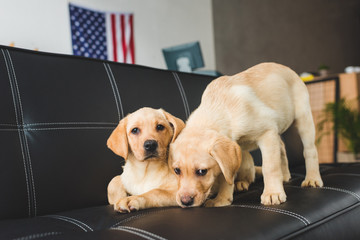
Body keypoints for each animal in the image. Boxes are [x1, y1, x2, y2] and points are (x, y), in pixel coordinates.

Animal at [169, 62, 324, 207]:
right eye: (177, 170)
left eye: (202, 171)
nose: (185, 201)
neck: (219, 108)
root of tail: (287, 69)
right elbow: (226, 176)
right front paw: (222, 199)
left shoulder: (267, 133)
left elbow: (270, 167)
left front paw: (272, 193)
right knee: (281, 146)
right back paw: (283, 175)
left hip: (303, 118)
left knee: (310, 150)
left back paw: (312, 178)